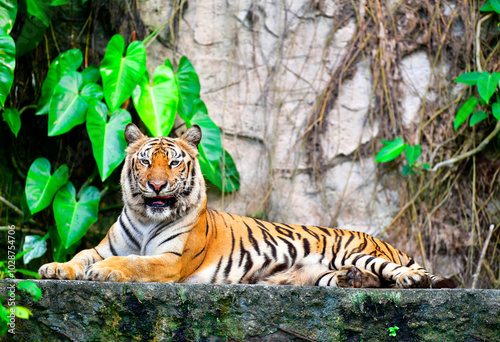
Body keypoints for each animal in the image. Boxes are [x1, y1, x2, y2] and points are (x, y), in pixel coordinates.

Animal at [39, 123, 458, 288]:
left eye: (173, 163)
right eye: (144, 162)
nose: (157, 185)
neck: (145, 218)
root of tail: (381, 240)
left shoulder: (172, 260)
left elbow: (135, 262)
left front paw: (108, 271)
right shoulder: (102, 246)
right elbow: (82, 255)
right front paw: (55, 268)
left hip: (358, 251)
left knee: (410, 273)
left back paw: (415, 280)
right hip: (317, 274)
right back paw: (352, 281)